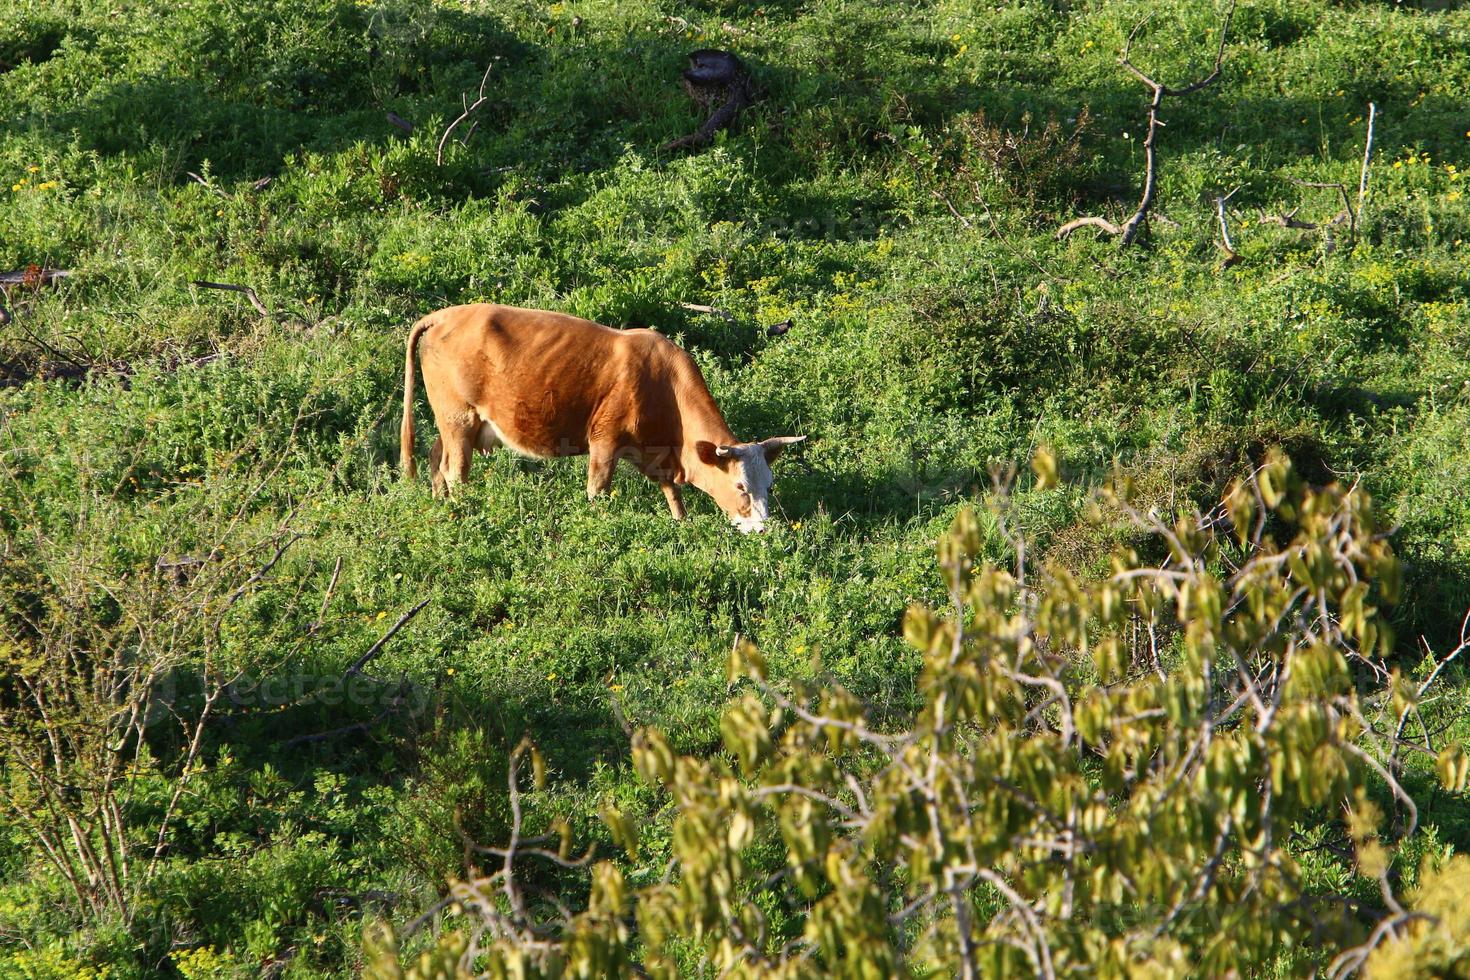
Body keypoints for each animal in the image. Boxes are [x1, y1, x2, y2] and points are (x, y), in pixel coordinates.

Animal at [399, 302, 805, 531]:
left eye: (769, 486)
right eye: (740, 486)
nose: (762, 530)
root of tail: (442, 316)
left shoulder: (653, 453)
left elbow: (672, 494)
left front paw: (682, 527)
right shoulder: (604, 441)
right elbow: (598, 491)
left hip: (454, 421)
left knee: (436, 459)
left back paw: (439, 507)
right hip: (459, 417)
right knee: (456, 472)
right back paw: (462, 512)